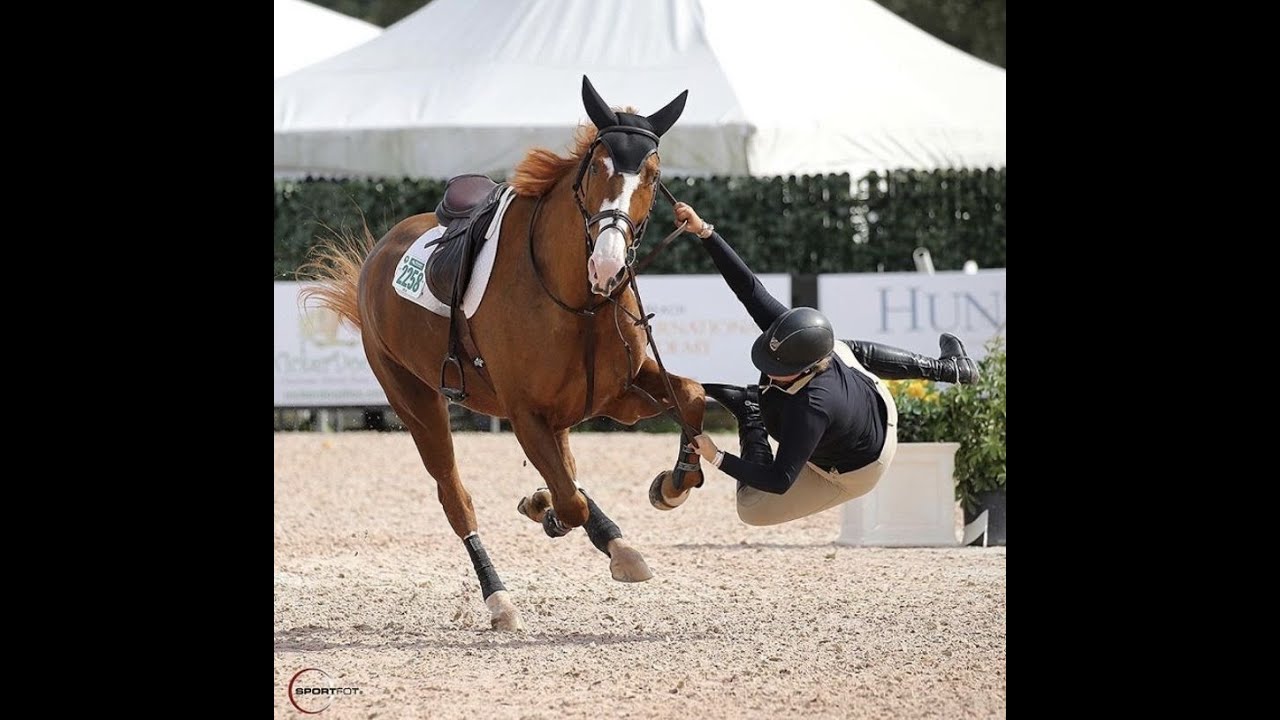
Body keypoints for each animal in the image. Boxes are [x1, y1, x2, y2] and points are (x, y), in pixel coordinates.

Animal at [301, 77, 709, 631]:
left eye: (651, 173)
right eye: (597, 167)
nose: (606, 265)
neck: (579, 299)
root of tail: (378, 253)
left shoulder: (618, 393)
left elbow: (690, 394)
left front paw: (675, 481)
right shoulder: (526, 413)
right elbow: (570, 502)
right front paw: (553, 512)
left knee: (567, 468)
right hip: (416, 401)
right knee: (458, 498)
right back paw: (500, 597)